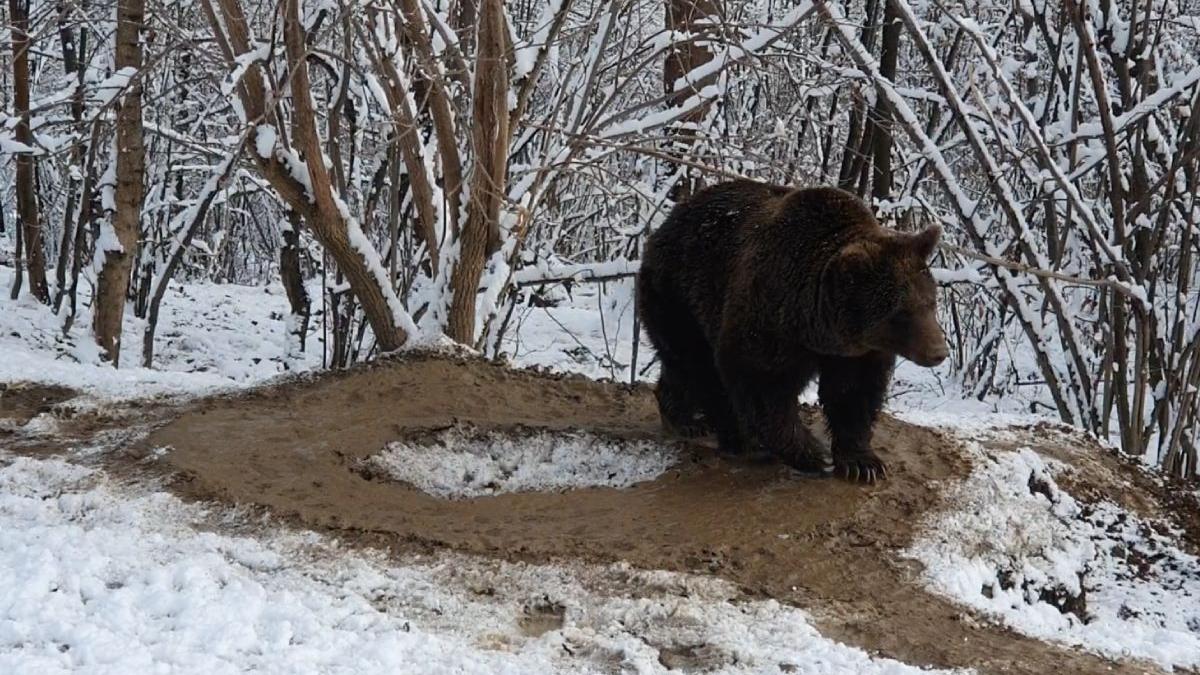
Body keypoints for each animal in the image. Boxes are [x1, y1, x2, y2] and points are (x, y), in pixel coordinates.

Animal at [638, 178, 945, 480]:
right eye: (900, 313)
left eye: (931, 302)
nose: (938, 351)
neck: (816, 328)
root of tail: (662, 228)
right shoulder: (768, 320)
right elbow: (762, 384)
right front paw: (812, 453)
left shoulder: (855, 351)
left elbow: (853, 393)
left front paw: (863, 463)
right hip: (680, 296)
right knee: (696, 364)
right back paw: (717, 430)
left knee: (683, 369)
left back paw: (685, 417)